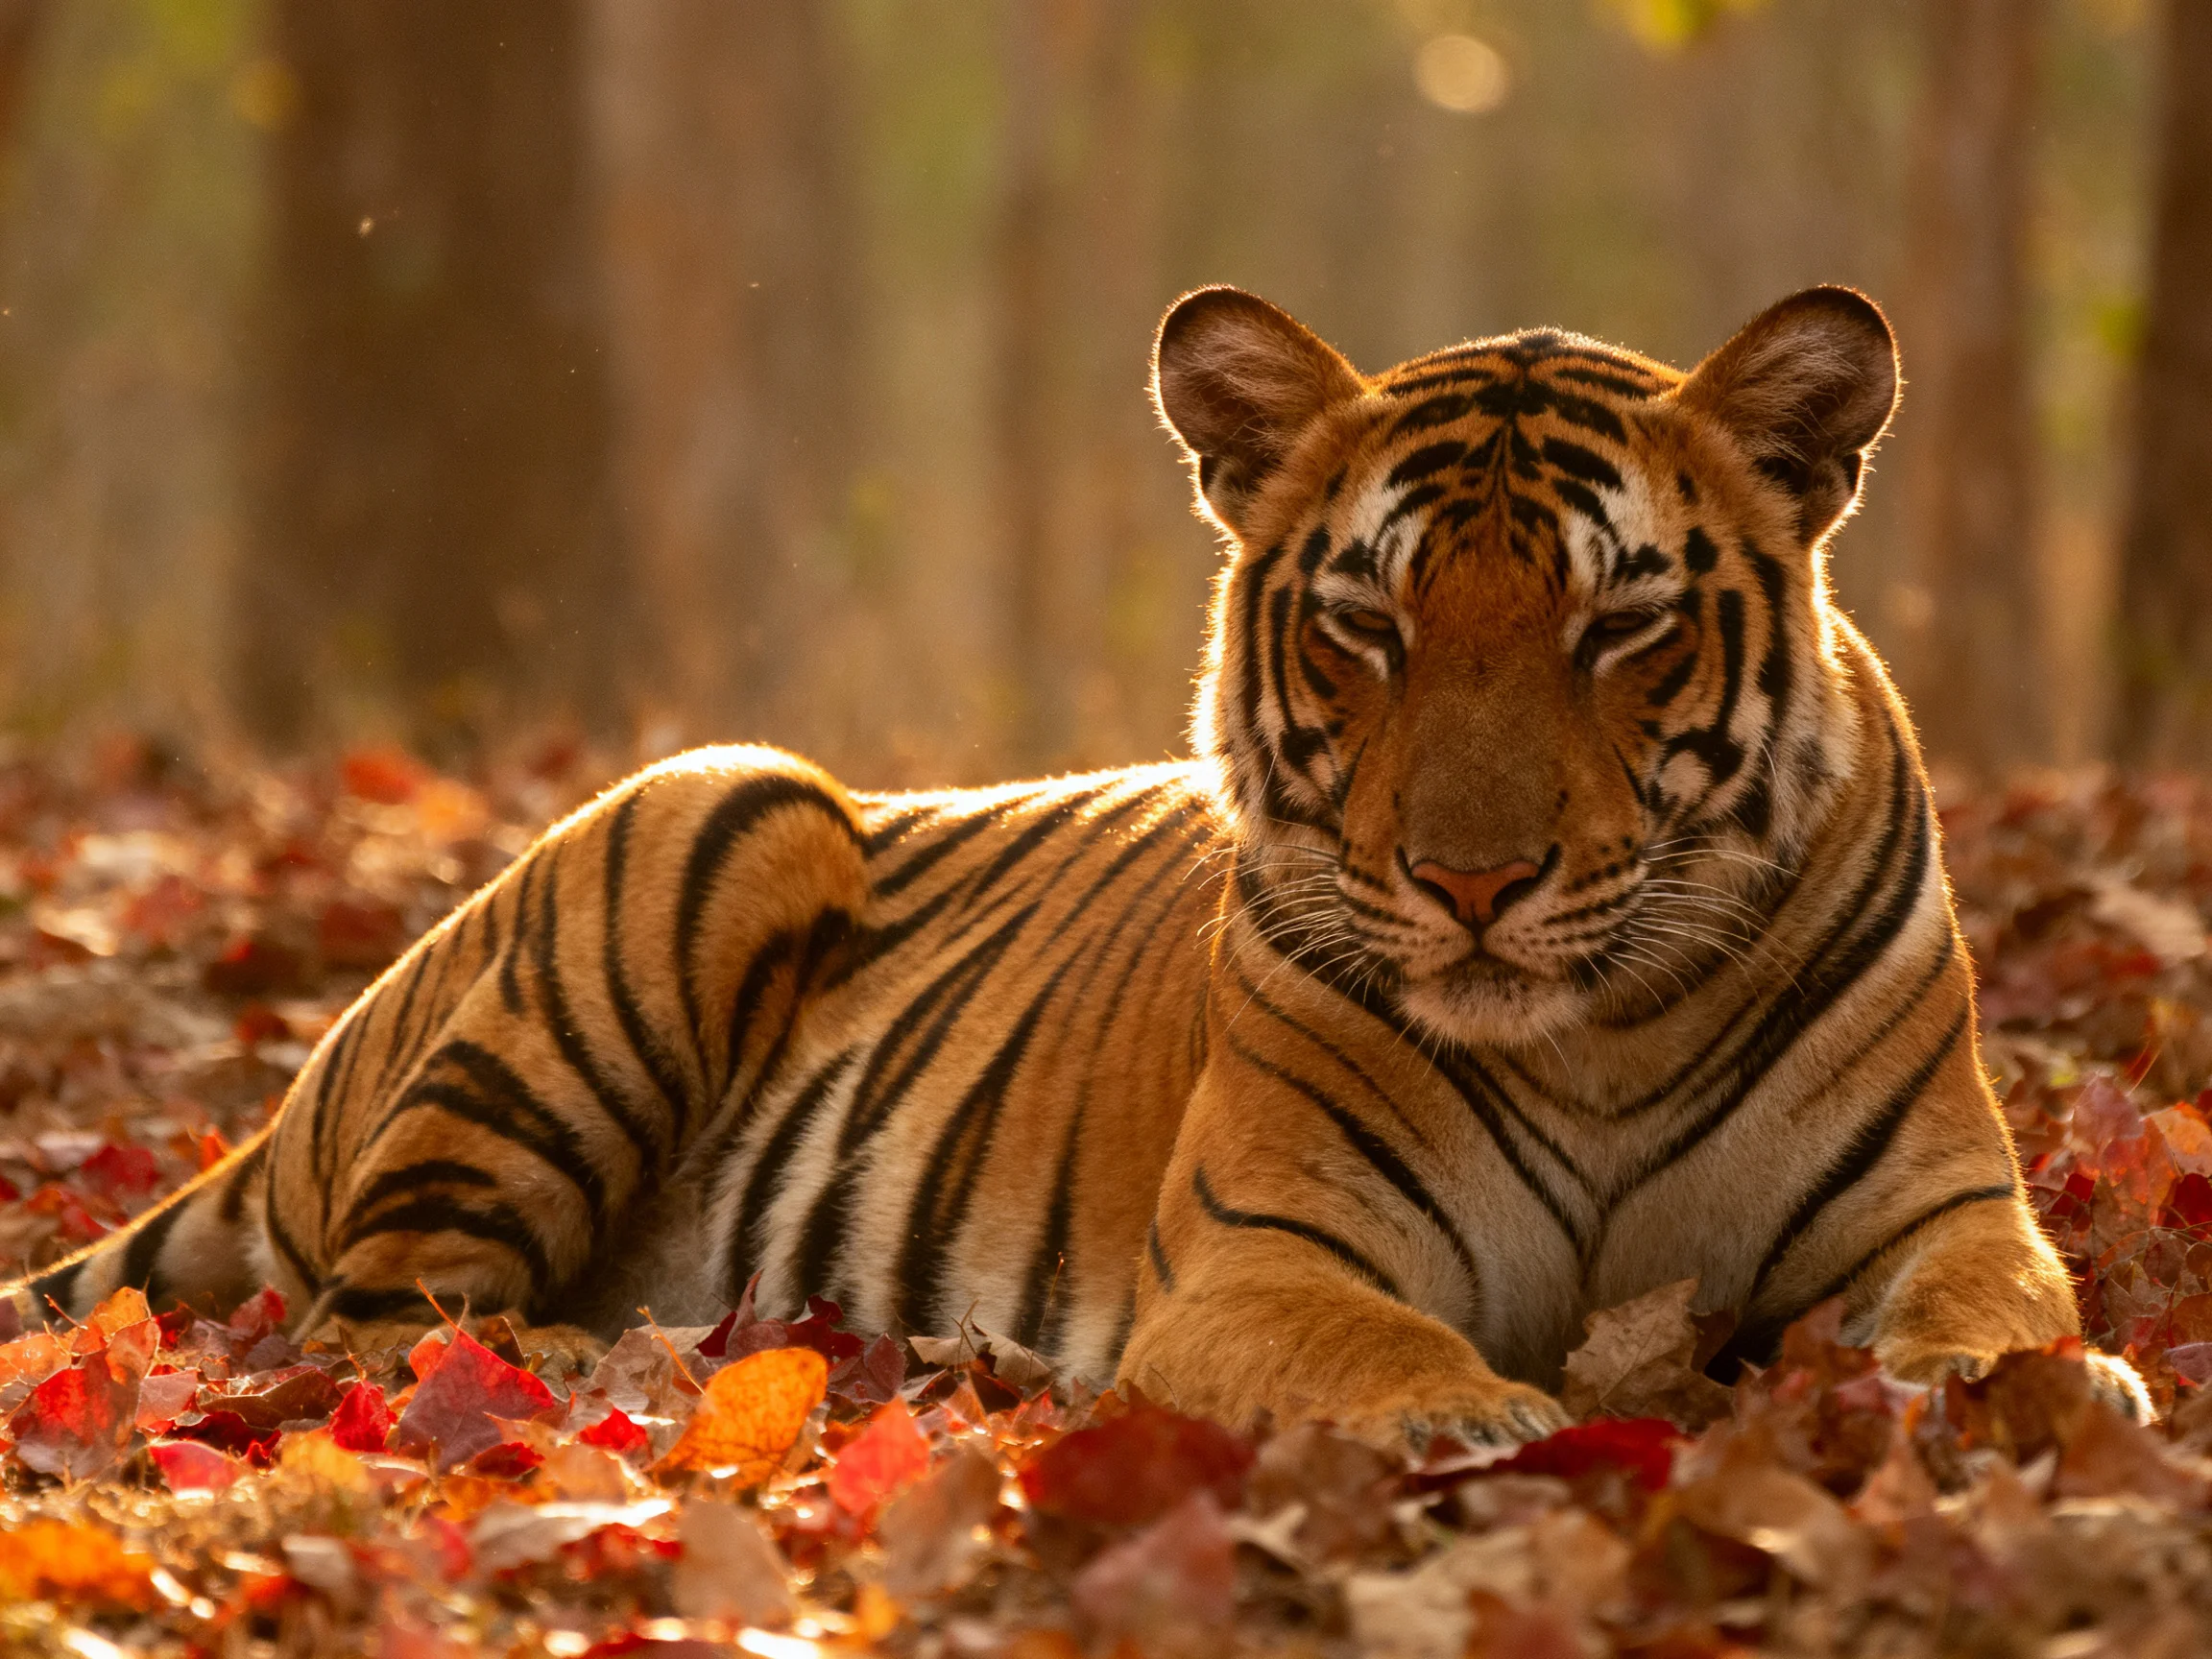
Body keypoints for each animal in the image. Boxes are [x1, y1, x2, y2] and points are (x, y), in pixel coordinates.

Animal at [6, 283, 2145, 1445]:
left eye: (1619, 629)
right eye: (1365, 626)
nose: (1469, 883)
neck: (1591, 1033)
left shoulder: (1934, 1211)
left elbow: (2004, 1312)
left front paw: (2034, 1398)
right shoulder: (1276, 1254)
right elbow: (1384, 1345)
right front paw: (1479, 1407)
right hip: (718, 804)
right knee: (374, 1322)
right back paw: (597, 1353)